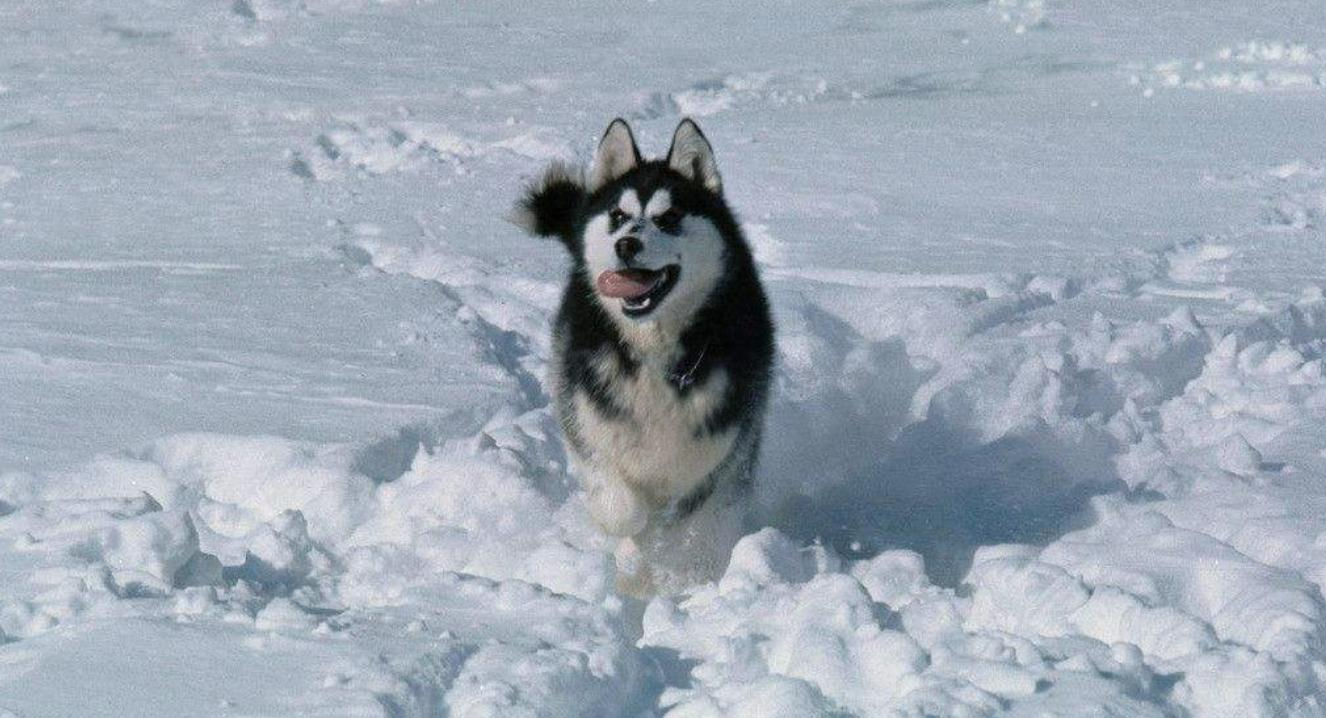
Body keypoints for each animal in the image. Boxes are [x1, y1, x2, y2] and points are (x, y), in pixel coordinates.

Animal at [509, 118, 774, 594]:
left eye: (669, 218)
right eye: (618, 216)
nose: (627, 244)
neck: (654, 353)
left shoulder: (725, 447)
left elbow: (696, 519)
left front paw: (682, 571)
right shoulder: (586, 421)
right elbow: (623, 511)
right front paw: (637, 554)